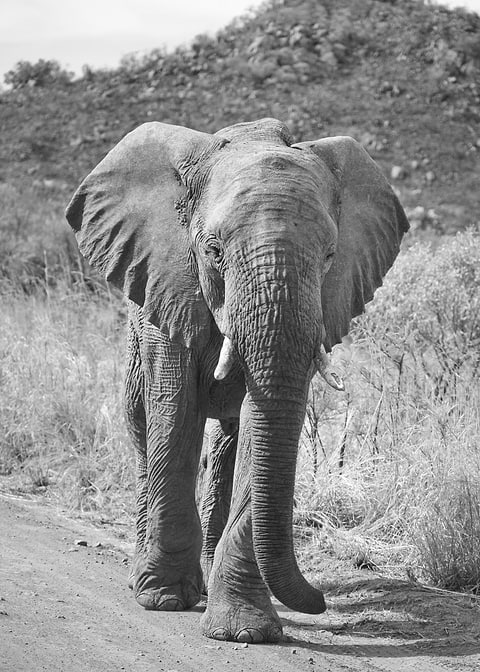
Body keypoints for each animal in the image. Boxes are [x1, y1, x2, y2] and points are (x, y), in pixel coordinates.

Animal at [65, 117, 409, 643]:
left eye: (331, 255)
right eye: (213, 251)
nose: (320, 601)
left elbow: (259, 424)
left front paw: (244, 631)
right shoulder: (171, 285)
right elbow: (176, 412)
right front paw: (165, 600)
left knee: (226, 442)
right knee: (143, 427)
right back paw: (145, 578)